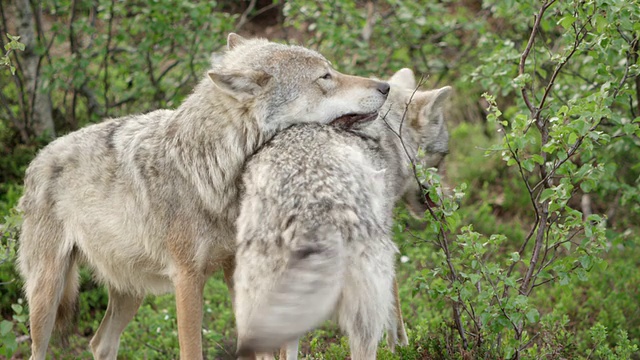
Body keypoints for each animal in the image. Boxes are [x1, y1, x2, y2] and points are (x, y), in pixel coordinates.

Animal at [16, 33, 390, 360]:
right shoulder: (187, 278)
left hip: (130, 293)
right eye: (325, 77)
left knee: (100, 343)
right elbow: (192, 350)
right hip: (47, 295)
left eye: (332, 70)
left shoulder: (233, 271)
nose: (385, 86)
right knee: (41, 350)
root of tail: (39, 157)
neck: (211, 170)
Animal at [234, 68, 450, 360]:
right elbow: (396, 303)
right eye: (441, 160)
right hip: (363, 312)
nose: (445, 202)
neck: (390, 134)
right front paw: (402, 346)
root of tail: (311, 212)